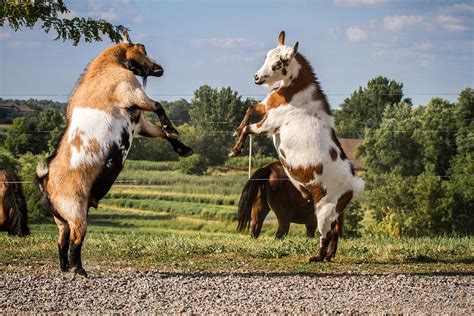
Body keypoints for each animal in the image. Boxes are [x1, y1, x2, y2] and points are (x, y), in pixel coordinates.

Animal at [36, 29, 193, 276]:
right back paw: (79, 270)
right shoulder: (131, 91)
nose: (159, 69)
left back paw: (65, 268)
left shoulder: (139, 124)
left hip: (60, 218)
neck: (106, 66)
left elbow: (162, 133)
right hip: (76, 211)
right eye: (141, 47)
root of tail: (45, 181)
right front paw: (172, 128)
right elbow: (158, 106)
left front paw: (184, 148)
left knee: (61, 240)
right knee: (75, 241)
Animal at [231, 31, 364, 262]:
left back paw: (316, 257)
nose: (257, 77)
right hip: (335, 212)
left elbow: (249, 127)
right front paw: (236, 132)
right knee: (336, 232)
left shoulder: (269, 124)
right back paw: (327, 257)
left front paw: (235, 149)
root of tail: (352, 186)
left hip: (323, 210)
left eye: (278, 63)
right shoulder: (267, 107)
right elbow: (250, 109)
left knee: (325, 234)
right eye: (267, 56)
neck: (295, 91)